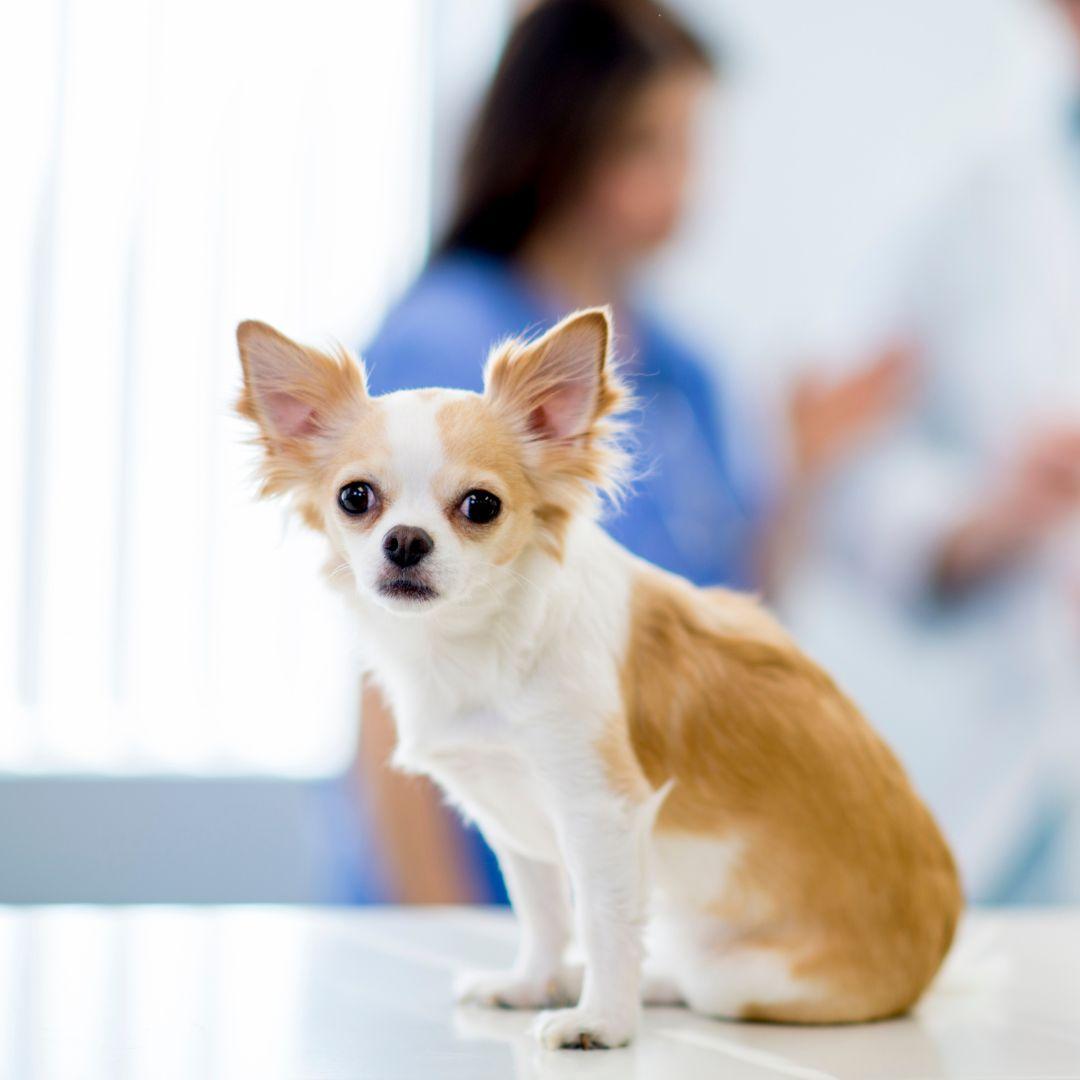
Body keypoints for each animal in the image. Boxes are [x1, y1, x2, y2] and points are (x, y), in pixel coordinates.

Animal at [236, 308, 963, 1049]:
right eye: (355, 497)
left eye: (480, 506)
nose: (406, 540)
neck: (470, 645)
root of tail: (935, 957)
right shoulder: (510, 815)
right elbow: (543, 913)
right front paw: (532, 985)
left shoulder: (602, 812)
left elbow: (602, 919)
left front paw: (601, 1023)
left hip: (743, 978)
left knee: (699, 979)